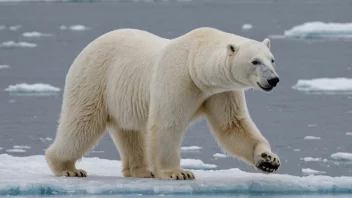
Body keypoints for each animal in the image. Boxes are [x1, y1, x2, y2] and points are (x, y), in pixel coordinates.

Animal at [45, 27, 280, 180]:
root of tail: (87, 47)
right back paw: (67, 168)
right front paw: (177, 172)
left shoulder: (221, 91)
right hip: (94, 79)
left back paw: (141, 170)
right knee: (82, 123)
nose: (273, 79)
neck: (196, 64)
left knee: (130, 132)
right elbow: (168, 123)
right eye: (255, 61)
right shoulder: (178, 79)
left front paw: (268, 159)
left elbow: (233, 125)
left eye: (272, 59)